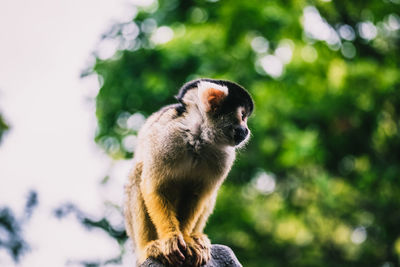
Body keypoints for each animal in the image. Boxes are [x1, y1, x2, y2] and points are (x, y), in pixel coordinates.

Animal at [125, 78, 253, 266]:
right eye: (242, 116)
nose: (246, 130)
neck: (198, 137)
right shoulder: (166, 138)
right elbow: (154, 187)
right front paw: (171, 237)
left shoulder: (224, 157)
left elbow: (196, 195)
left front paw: (186, 238)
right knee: (138, 173)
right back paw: (147, 248)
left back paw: (197, 238)